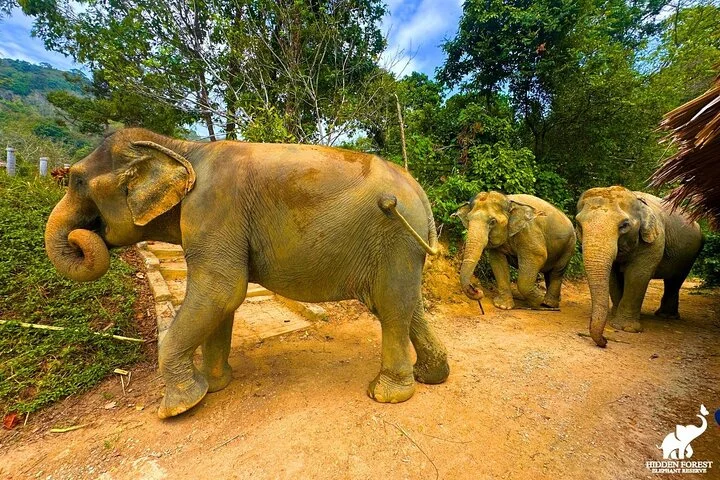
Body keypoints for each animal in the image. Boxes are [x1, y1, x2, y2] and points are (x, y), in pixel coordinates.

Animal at [44, 128, 449, 418]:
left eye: (76, 181)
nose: (83, 237)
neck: (181, 148)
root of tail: (419, 192)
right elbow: (219, 301)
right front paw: (215, 385)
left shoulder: (213, 208)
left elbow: (221, 290)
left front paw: (178, 408)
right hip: (400, 245)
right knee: (406, 305)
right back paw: (430, 377)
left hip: (395, 236)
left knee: (392, 308)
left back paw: (387, 395)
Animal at [575, 186, 704, 347]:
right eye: (579, 224)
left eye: (624, 225)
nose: (605, 340)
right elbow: (613, 277)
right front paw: (613, 318)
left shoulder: (655, 242)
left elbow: (637, 276)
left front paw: (626, 328)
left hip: (690, 255)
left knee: (675, 281)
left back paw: (666, 316)